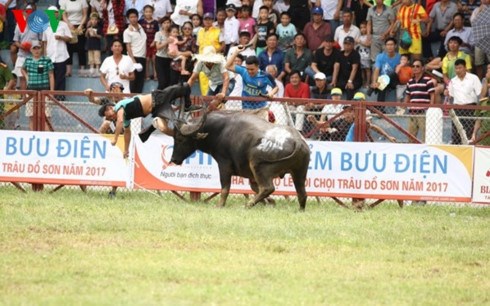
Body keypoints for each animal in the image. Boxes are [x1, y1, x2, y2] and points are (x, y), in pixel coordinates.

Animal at [170, 111, 312, 212]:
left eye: (180, 138)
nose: (173, 159)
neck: (220, 130)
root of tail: (297, 141)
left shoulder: (224, 165)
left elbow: (225, 188)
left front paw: (220, 205)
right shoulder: (251, 176)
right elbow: (253, 188)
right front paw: (270, 202)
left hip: (258, 165)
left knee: (267, 187)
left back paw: (247, 205)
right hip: (299, 172)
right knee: (302, 193)